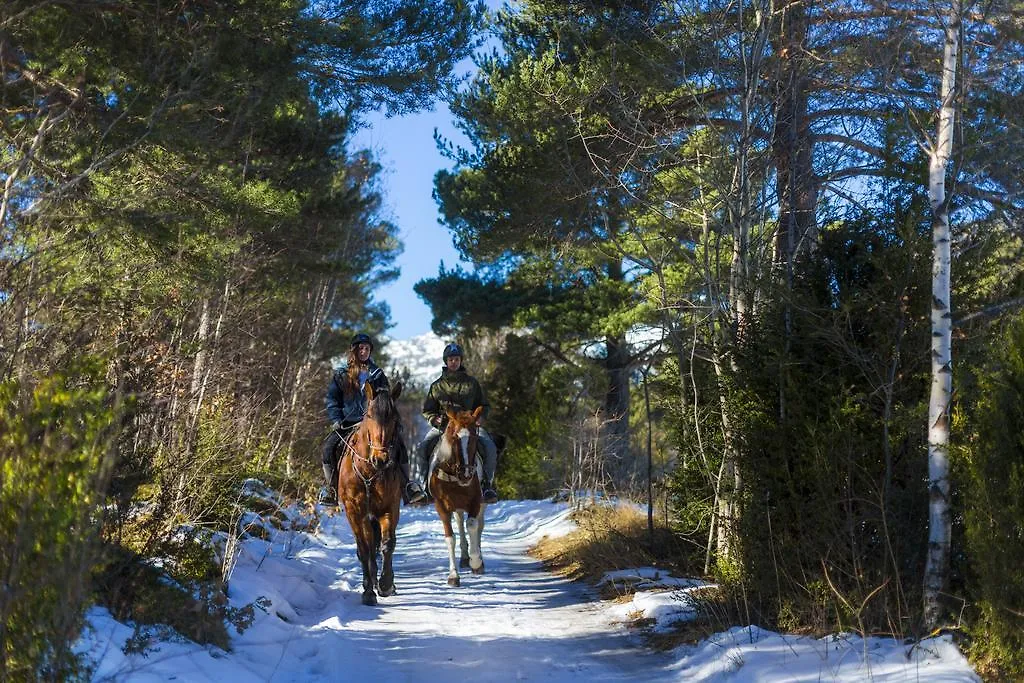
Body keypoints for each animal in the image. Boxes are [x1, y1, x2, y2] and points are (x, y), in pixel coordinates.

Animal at [335, 382, 399, 606]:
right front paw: (369, 592)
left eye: (394, 417)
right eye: (369, 415)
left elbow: (387, 544)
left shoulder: (390, 507)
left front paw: (386, 584)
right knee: (368, 548)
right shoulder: (355, 512)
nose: (381, 459)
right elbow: (364, 549)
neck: (369, 470)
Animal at [425, 405, 485, 589]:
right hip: (456, 507)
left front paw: (476, 562)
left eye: (474, 437)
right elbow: (450, 537)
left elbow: (472, 526)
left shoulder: (476, 501)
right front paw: (453, 575)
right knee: (460, 523)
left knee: (478, 526)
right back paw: (464, 557)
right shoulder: (441, 507)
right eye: (454, 437)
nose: (466, 474)